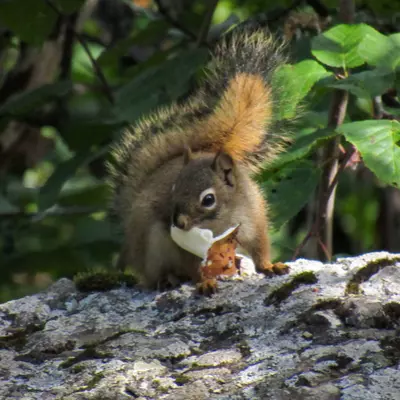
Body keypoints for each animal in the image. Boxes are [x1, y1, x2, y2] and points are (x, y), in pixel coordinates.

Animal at [108, 25, 296, 290]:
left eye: (208, 199)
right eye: (172, 190)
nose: (179, 223)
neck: (220, 222)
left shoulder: (255, 219)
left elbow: (261, 250)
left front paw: (271, 266)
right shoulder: (184, 245)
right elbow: (193, 265)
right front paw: (204, 283)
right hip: (153, 246)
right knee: (155, 274)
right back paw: (167, 278)